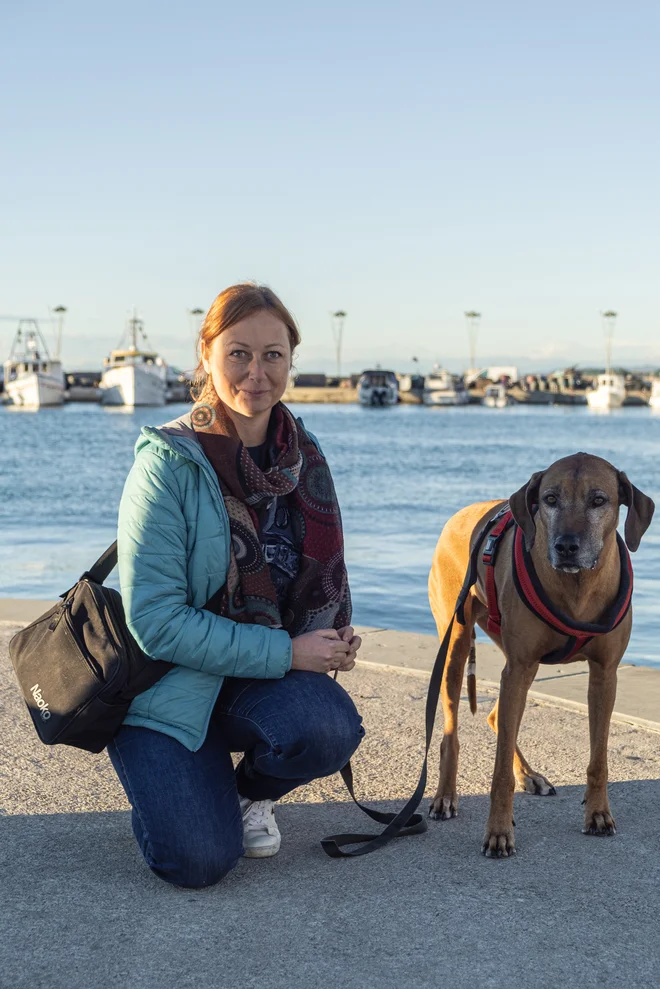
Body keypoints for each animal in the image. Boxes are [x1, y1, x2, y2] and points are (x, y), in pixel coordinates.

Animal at [428, 452, 656, 852]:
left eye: (599, 500)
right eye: (549, 499)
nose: (566, 546)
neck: (577, 586)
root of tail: (460, 514)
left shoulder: (604, 673)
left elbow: (599, 759)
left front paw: (598, 814)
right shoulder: (519, 667)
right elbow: (498, 772)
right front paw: (498, 831)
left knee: (497, 716)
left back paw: (529, 775)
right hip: (456, 644)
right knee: (451, 735)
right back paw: (445, 796)